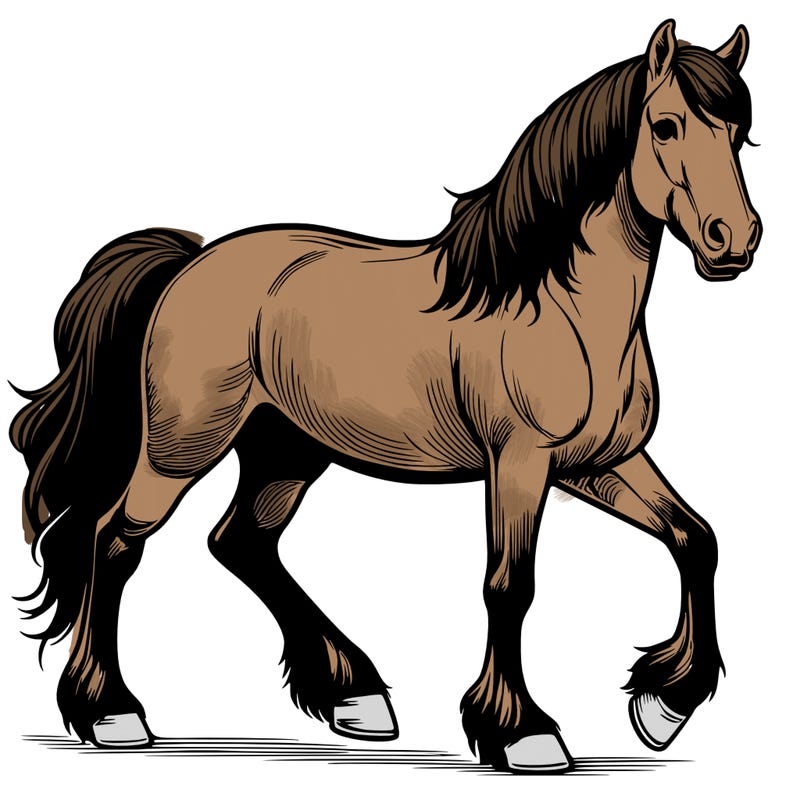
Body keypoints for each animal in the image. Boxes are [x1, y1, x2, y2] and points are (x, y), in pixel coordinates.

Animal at [10, 20, 760, 773]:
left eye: (739, 132)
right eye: (665, 126)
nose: (735, 240)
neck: (555, 305)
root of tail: (190, 262)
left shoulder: (599, 463)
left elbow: (696, 539)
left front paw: (664, 706)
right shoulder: (520, 463)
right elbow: (509, 585)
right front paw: (522, 732)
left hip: (286, 451)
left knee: (241, 542)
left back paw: (354, 696)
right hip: (182, 448)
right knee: (114, 540)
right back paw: (112, 713)